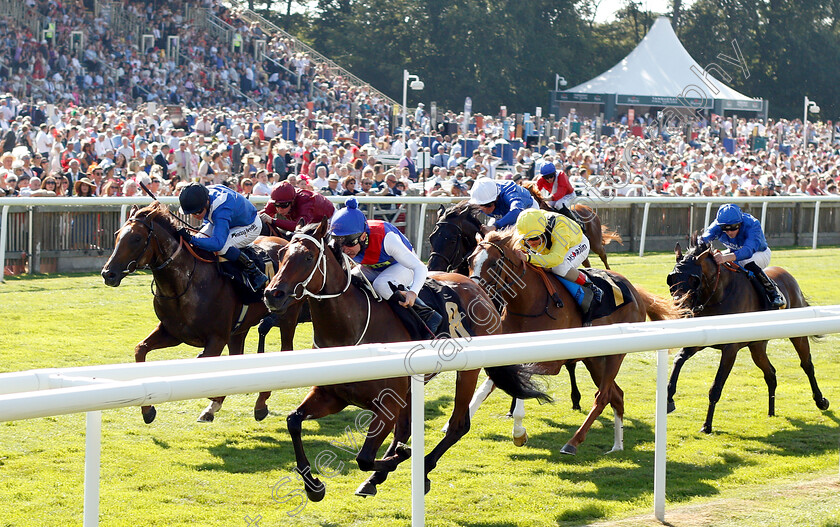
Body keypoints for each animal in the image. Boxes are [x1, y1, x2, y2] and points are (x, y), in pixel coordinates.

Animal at [102, 202, 304, 424]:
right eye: (117, 234)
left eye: (137, 238)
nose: (108, 273)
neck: (186, 284)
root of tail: (284, 241)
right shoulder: (173, 333)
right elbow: (140, 349)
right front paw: (148, 410)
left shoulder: (216, 338)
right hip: (240, 327)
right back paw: (215, 406)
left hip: (287, 315)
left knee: (285, 351)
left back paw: (260, 402)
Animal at [264, 221, 552, 502]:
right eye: (281, 254)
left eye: (308, 257)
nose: (272, 294)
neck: (350, 330)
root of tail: (478, 288)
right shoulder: (332, 396)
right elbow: (293, 421)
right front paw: (313, 486)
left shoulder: (387, 405)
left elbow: (364, 457)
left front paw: (399, 457)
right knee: (406, 428)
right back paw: (379, 476)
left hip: (467, 371)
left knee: (457, 425)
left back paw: (421, 468)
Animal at [466, 229, 684, 456]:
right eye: (470, 260)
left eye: (494, 263)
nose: (474, 292)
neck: (528, 304)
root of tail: (634, 291)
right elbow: (485, 390)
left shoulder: (548, 363)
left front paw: (519, 434)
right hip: (595, 360)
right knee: (617, 395)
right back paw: (617, 445)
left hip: (615, 356)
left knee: (603, 396)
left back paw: (573, 442)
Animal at [668, 238, 832, 434]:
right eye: (671, 278)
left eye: (694, 279)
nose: (679, 307)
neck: (718, 295)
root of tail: (790, 278)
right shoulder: (701, 339)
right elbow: (678, 360)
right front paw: (669, 398)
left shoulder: (730, 349)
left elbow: (716, 386)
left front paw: (707, 425)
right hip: (757, 346)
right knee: (770, 373)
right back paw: (771, 411)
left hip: (797, 335)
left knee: (807, 365)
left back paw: (821, 401)